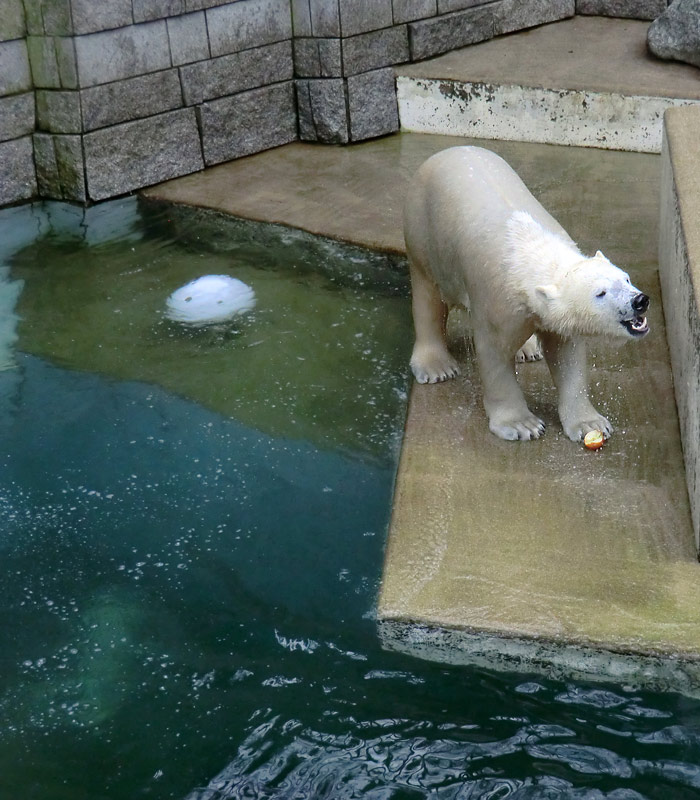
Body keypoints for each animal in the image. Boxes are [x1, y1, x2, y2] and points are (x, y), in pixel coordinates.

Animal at [404, 145, 652, 444]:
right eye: (600, 293)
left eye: (625, 278)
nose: (639, 301)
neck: (528, 249)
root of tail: (448, 150)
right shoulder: (496, 299)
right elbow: (495, 353)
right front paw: (523, 425)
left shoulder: (551, 311)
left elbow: (566, 354)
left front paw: (589, 424)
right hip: (423, 232)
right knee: (428, 296)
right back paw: (436, 367)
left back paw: (528, 349)